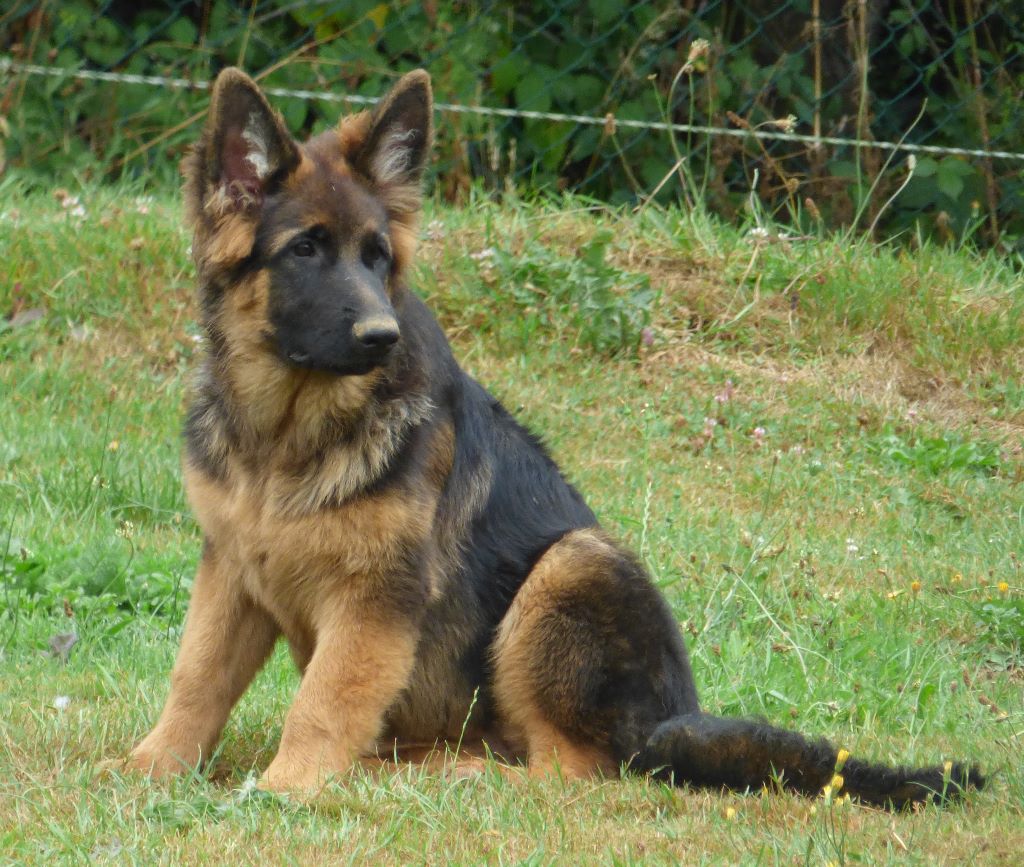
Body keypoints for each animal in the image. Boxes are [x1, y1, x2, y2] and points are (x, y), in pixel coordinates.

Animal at [128, 66, 983, 806]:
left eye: (376, 257)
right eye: (304, 248)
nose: (380, 335)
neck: (284, 436)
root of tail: (664, 729)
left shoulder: (374, 599)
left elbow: (322, 699)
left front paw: (284, 787)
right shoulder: (231, 573)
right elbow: (195, 677)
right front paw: (150, 766)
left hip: (571, 566)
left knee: (570, 767)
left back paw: (446, 775)